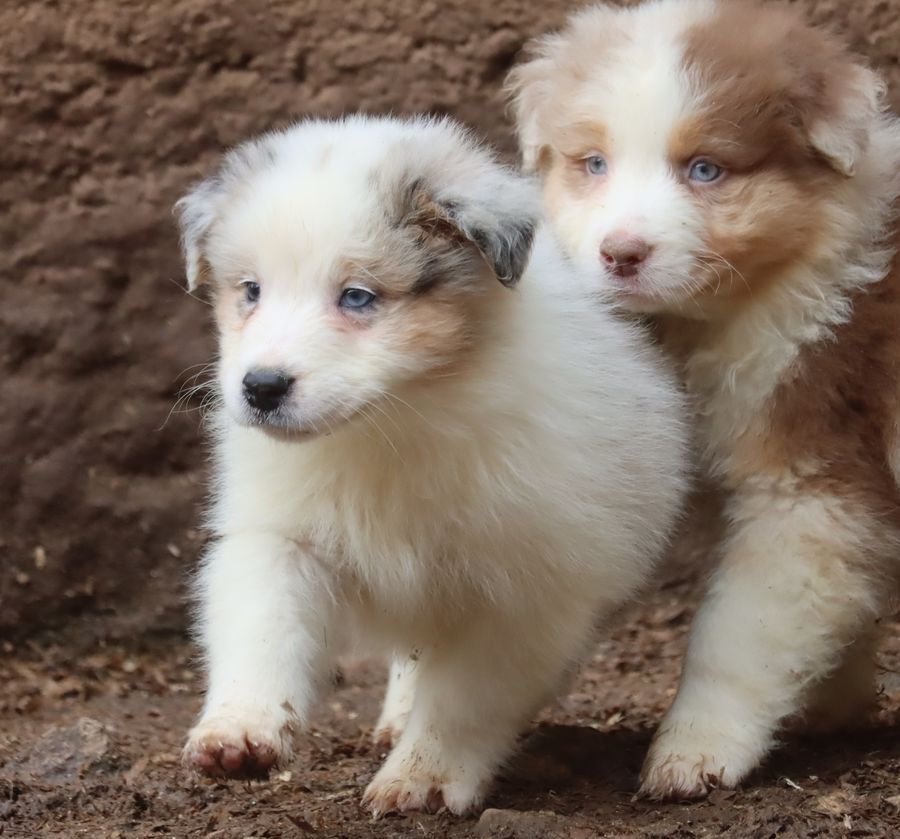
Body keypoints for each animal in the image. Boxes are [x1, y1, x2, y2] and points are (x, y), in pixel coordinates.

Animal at [176, 115, 684, 816]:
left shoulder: (526, 593)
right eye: (250, 290)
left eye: (357, 296)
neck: (397, 421)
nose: (261, 387)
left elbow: (464, 700)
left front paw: (423, 778)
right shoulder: (281, 536)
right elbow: (263, 624)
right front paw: (239, 731)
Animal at [510, 0, 900, 800]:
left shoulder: (811, 479)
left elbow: (738, 631)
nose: (621, 254)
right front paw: (830, 705)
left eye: (706, 169)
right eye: (593, 164)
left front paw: (691, 755)